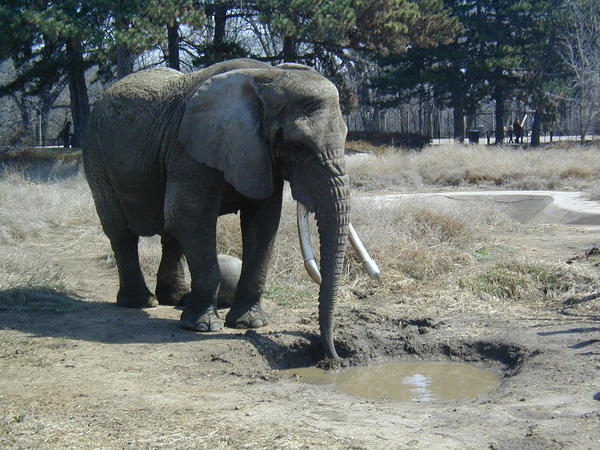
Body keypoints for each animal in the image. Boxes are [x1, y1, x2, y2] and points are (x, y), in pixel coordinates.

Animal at [81, 58, 352, 360]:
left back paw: (175, 298)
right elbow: (190, 215)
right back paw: (142, 302)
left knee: (169, 234)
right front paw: (202, 327)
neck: (268, 75)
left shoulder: (259, 154)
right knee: (121, 232)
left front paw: (249, 324)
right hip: (96, 156)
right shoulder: (190, 148)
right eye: (296, 144)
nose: (335, 356)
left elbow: (263, 223)